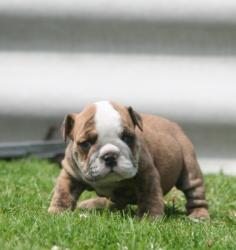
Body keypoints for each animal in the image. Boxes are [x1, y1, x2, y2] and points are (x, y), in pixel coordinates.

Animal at [48, 100, 208, 218]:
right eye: (86, 143)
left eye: (127, 137)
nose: (110, 156)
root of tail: (175, 125)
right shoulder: (70, 173)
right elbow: (63, 193)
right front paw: (57, 212)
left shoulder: (146, 174)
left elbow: (149, 196)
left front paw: (148, 217)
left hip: (190, 168)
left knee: (195, 193)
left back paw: (198, 215)